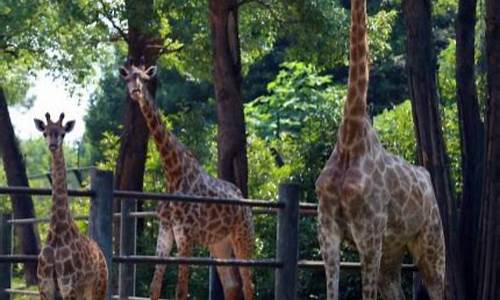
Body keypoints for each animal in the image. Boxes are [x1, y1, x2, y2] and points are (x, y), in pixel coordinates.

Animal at [34, 113, 108, 300]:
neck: (57, 232)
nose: (53, 145)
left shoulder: (69, 287)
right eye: (45, 133)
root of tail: (101, 254)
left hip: (98, 288)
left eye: (63, 133)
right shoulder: (45, 288)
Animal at [316, 0, 446, 300]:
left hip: (431, 241)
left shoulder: (369, 233)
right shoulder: (328, 229)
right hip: (393, 249)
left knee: (439, 287)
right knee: (396, 290)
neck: (350, 140)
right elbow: (332, 291)